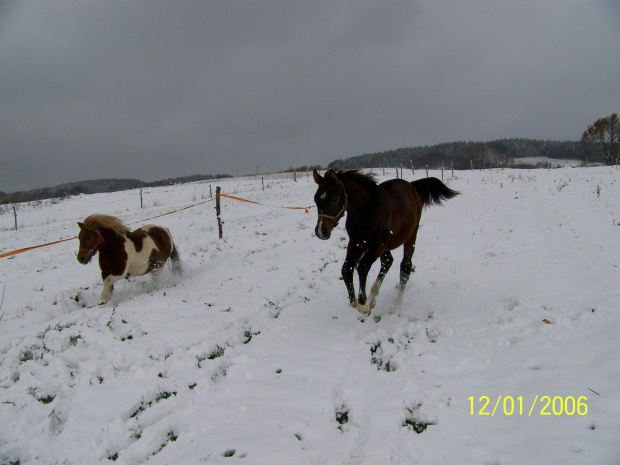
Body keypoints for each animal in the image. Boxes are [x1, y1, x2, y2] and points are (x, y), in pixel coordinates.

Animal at [312, 170, 458, 316]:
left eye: (335, 199)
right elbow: (346, 269)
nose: (321, 232)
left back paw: (395, 306)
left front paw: (363, 304)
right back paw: (373, 298)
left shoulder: (378, 244)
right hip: (386, 245)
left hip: (410, 236)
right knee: (388, 261)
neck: (366, 212)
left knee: (405, 266)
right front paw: (358, 304)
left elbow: (363, 267)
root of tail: (411, 186)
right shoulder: (356, 243)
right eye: (316, 199)